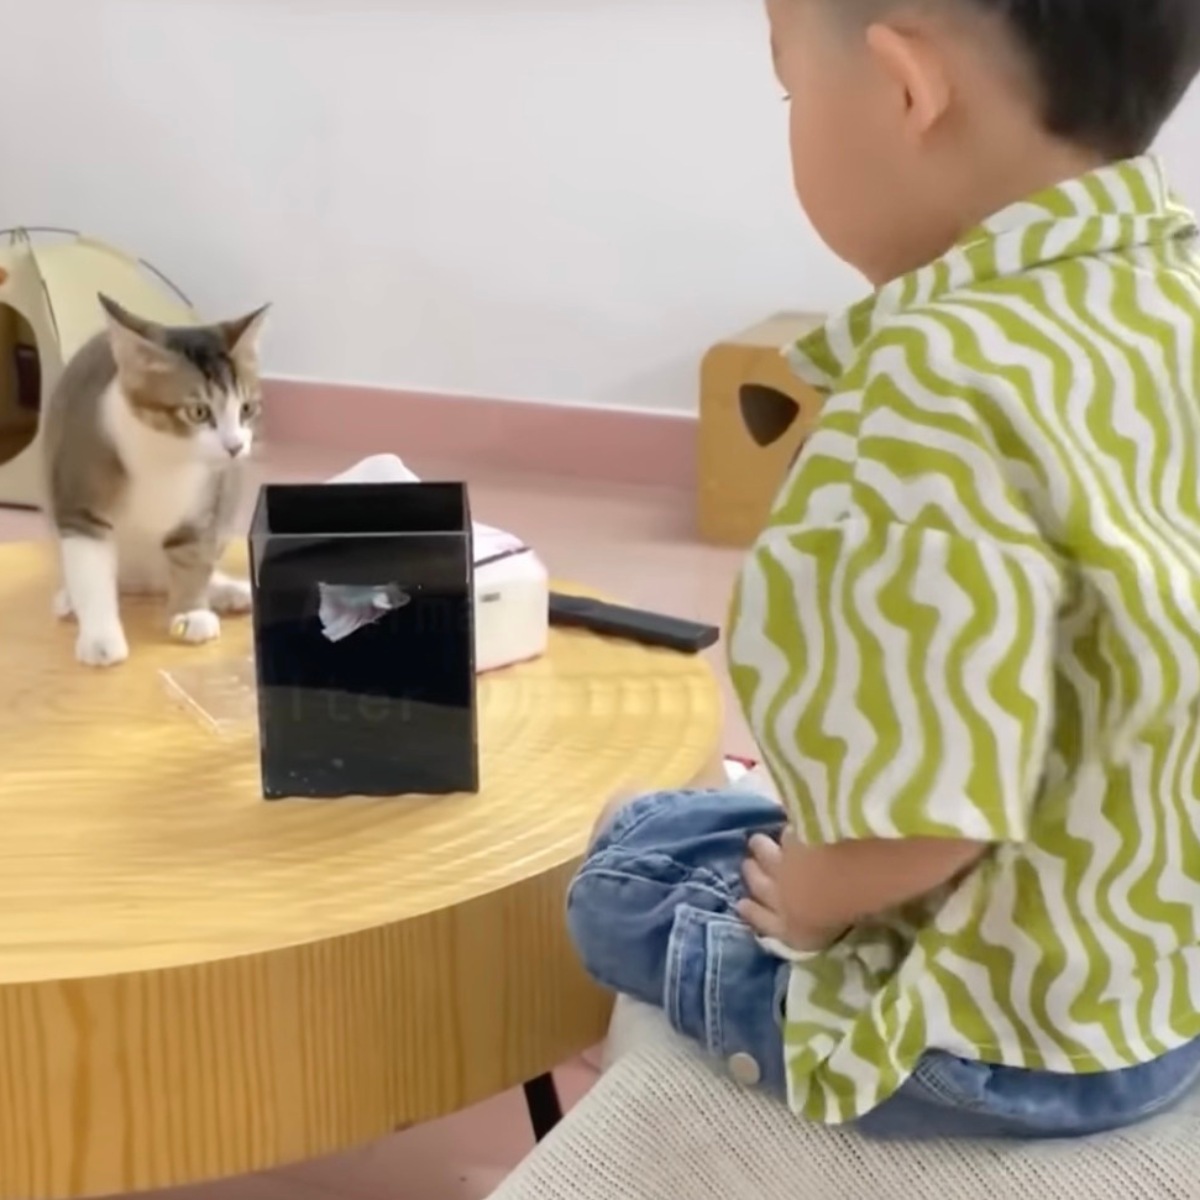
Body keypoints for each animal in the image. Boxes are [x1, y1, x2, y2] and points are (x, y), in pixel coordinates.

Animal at [43, 291, 271, 667]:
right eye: (198, 412)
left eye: (247, 409)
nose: (236, 446)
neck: (167, 457)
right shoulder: (80, 498)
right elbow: (90, 570)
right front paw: (100, 638)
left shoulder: (208, 500)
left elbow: (193, 553)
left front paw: (191, 612)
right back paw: (68, 601)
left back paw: (227, 590)